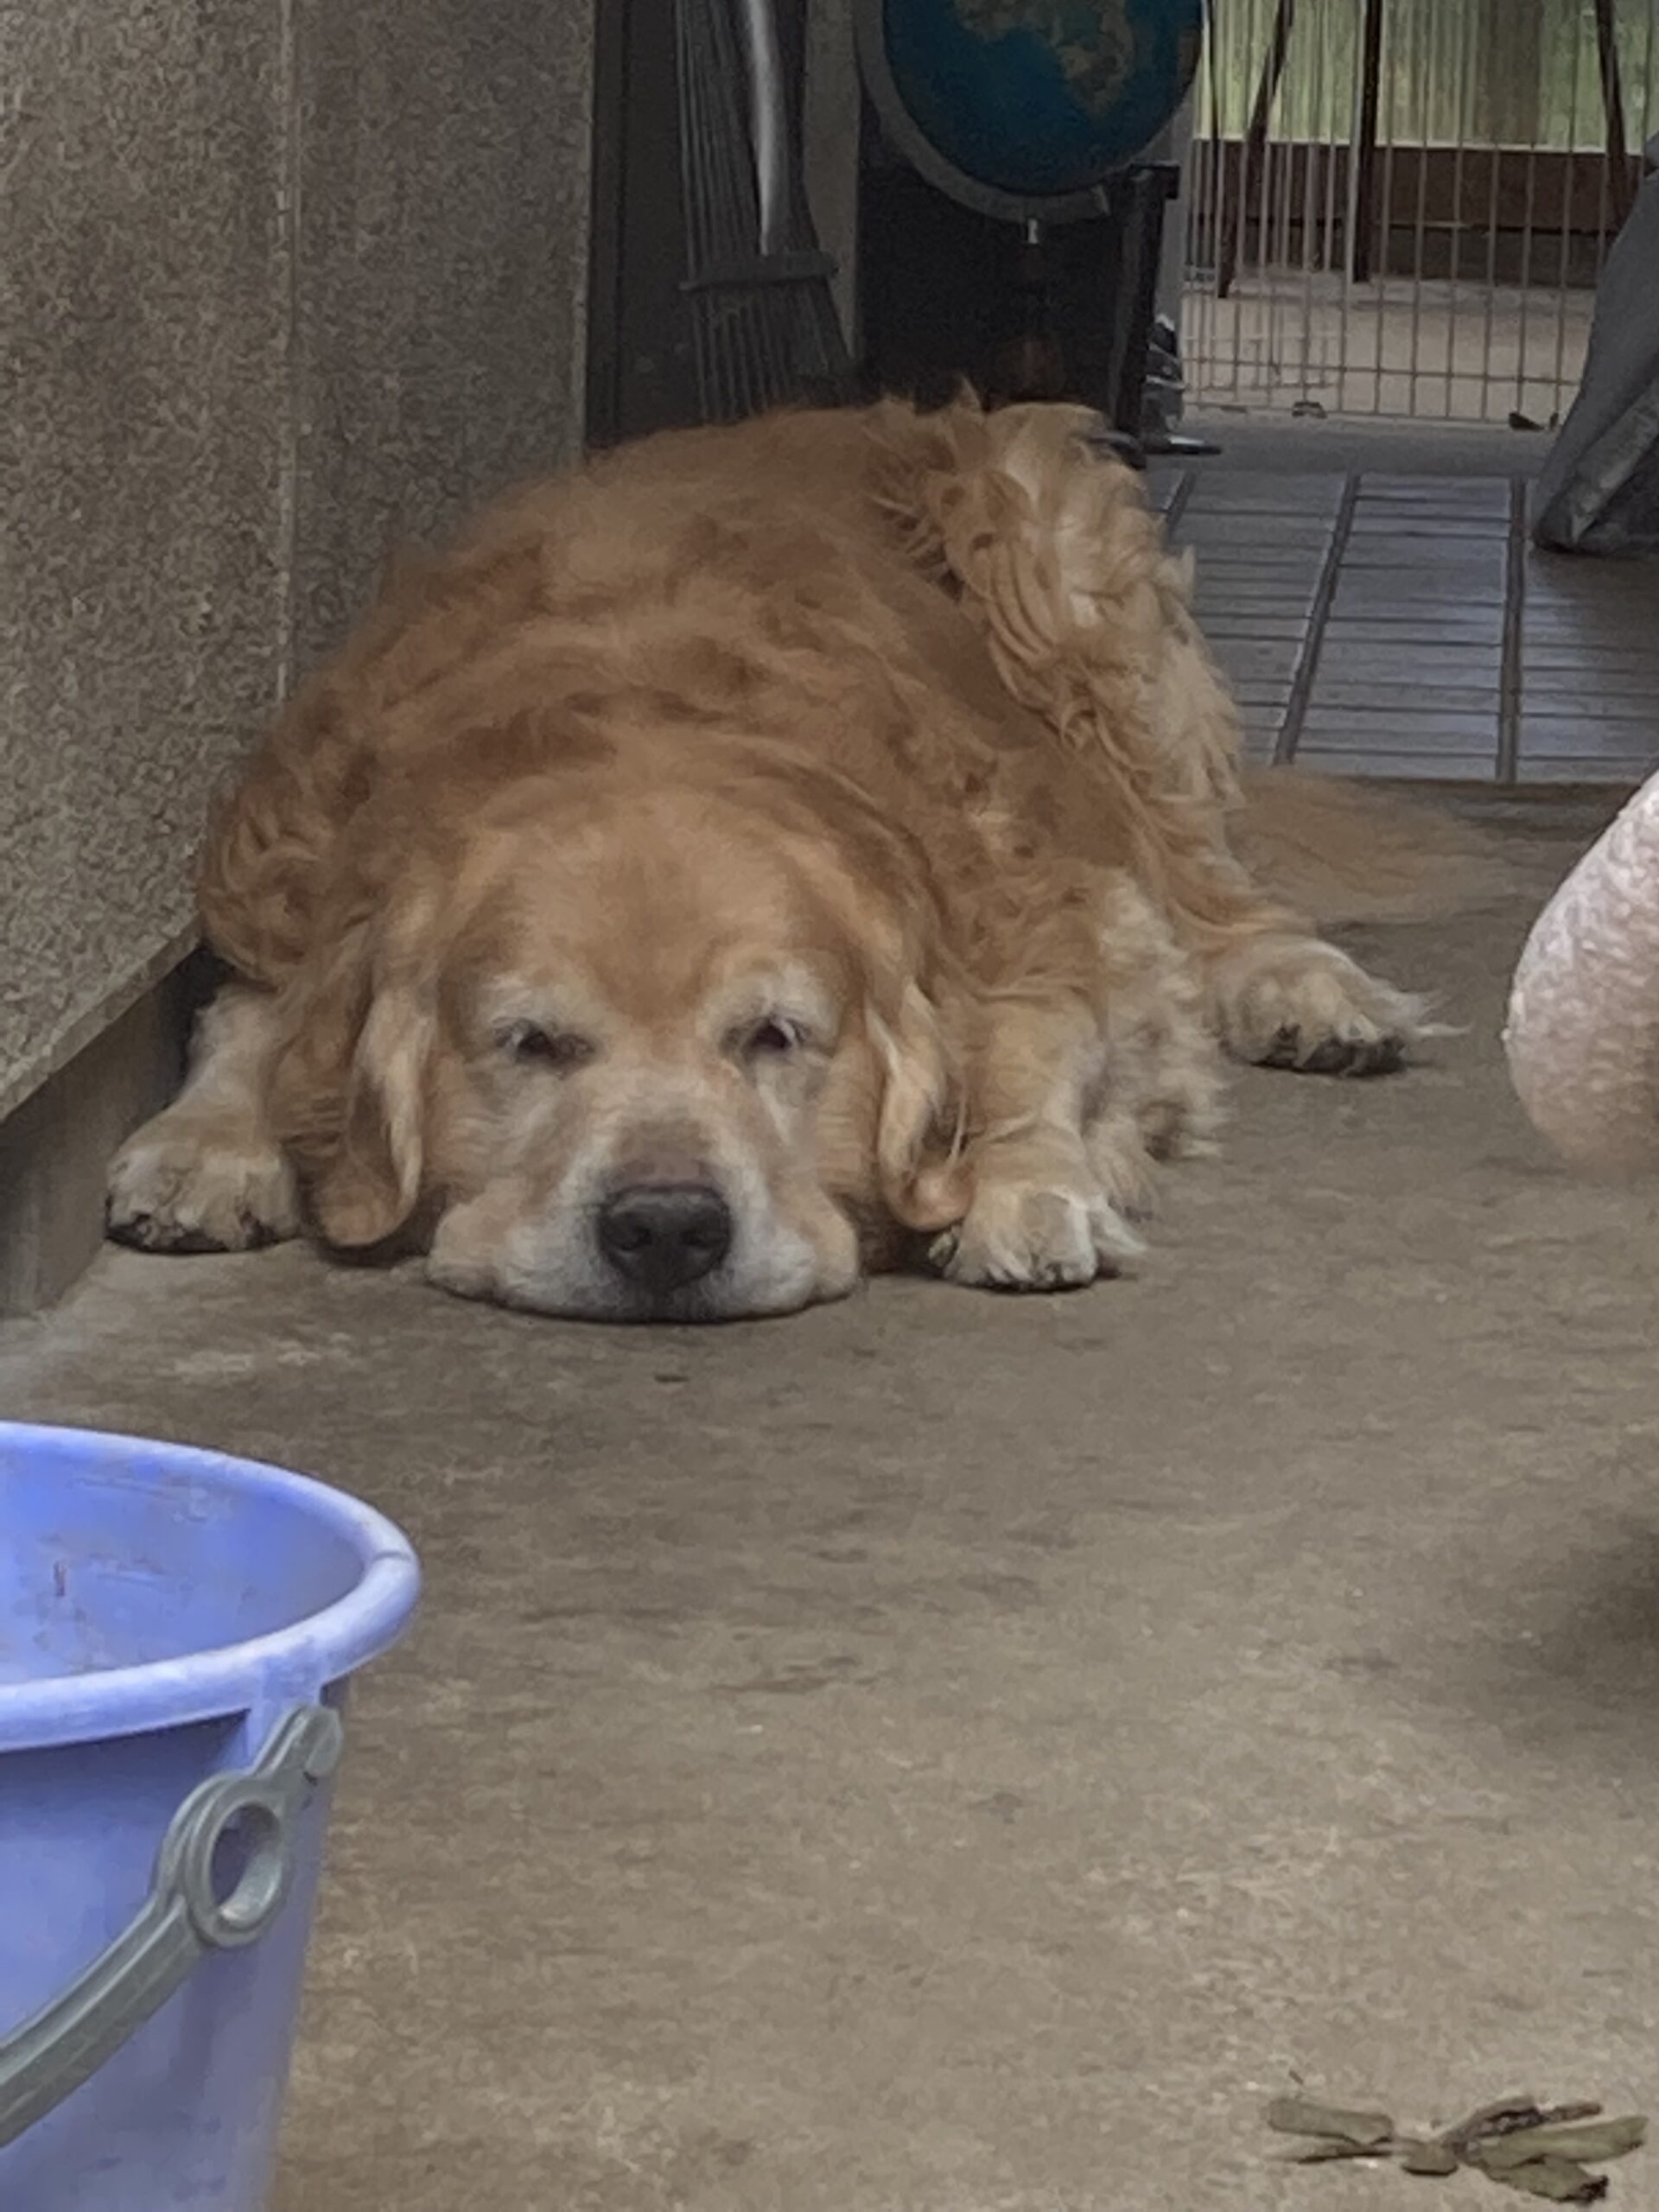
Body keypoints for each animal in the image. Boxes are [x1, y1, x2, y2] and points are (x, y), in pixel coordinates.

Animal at [111, 397, 1503, 1318]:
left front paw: (1021, 1184)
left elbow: (1038, 1036)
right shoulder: (297, 890)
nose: (666, 1229)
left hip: (1056, 568)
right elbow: (253, 1015)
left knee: (1214, 885)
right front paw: (206, 1140)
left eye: (774, 1039)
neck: (644, 726)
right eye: (532, 1045)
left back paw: (1309, 992)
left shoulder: (1049, 904)